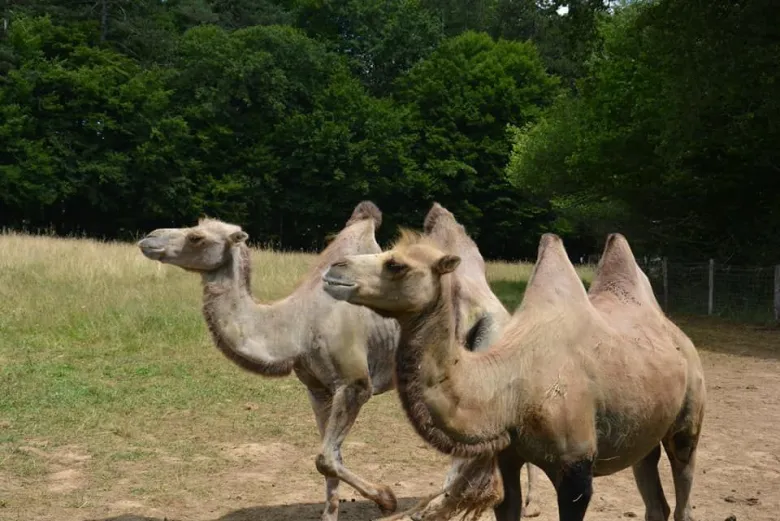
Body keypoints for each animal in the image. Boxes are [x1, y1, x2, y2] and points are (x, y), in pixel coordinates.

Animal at [137, 202, 536, 520]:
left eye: (197, 238)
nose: (149, 237)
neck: (295, 326)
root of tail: (501, 310)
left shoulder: (354, 383)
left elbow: (326, 457)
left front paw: (387, 500)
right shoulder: (317, 389)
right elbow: (327, 459)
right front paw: (331, 514)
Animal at [322, 231, 708, 520]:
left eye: (396, 264)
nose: (332, 270)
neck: (511, 386)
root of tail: (682, 338)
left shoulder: (576, 469)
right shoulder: (508, 458)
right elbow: (507, 503)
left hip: (687, 418)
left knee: (683, 488)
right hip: (643, 430)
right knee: (655, 501)